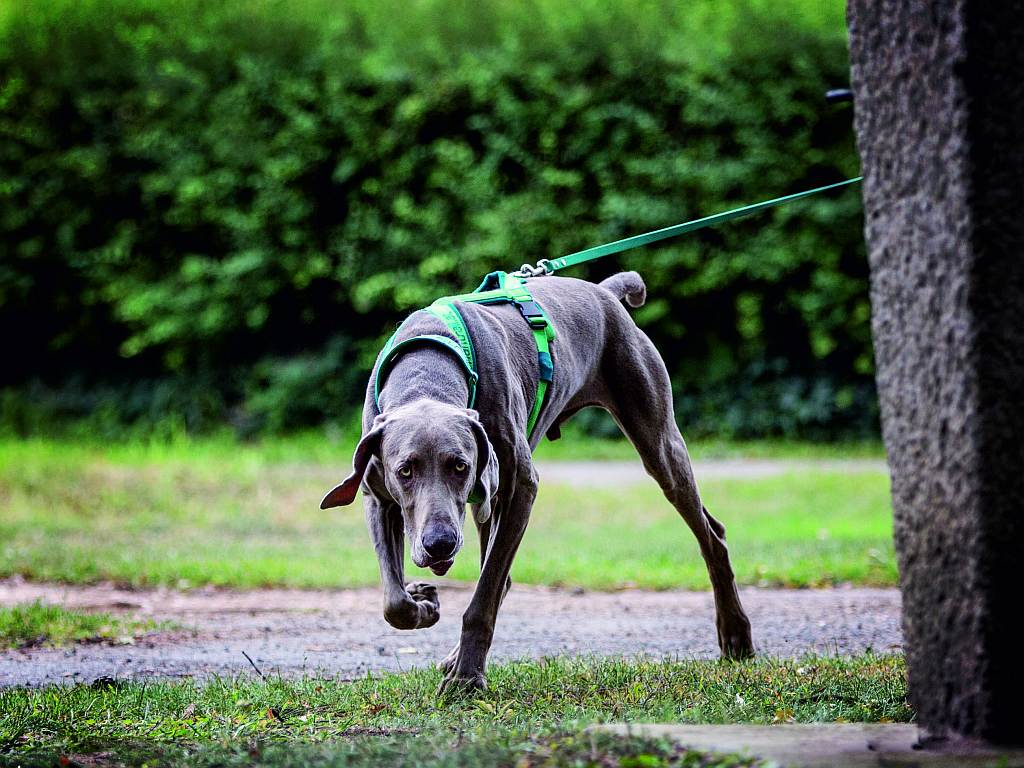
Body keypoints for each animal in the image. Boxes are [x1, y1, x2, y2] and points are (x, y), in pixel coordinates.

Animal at [323, 274, 757, 696]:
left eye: (460, 466)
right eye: (405, 471)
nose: (439, 543)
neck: (428, 368)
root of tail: (605, 291)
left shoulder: (519, 487)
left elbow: (483, 598)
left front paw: (467, 680)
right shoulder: (378, 496)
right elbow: (393, 601)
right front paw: (423, 603)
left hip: (657, 439)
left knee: (711, 534)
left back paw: (736, 634)